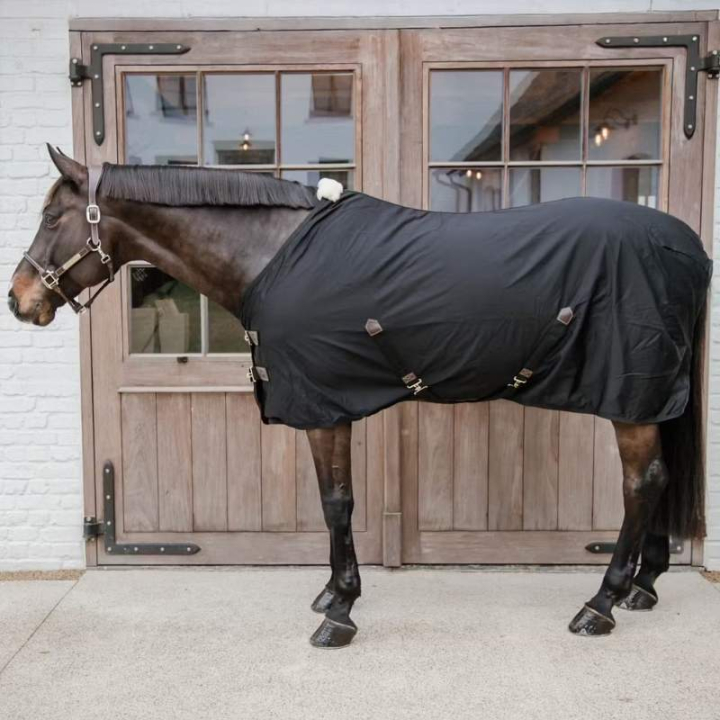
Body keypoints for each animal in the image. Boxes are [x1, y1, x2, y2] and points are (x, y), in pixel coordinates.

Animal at [9, 145, 711, 648]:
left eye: (51, 218)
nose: (19, 299)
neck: (270, 254)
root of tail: (685, 243)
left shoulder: (324, 408)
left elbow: (337, 503)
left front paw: (339, 611)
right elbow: (334, 505)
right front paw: (329, 594)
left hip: (629, 398)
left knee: (642, 482)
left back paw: (600, 604)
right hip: (654, 399)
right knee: (661, 477)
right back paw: (642, 587)